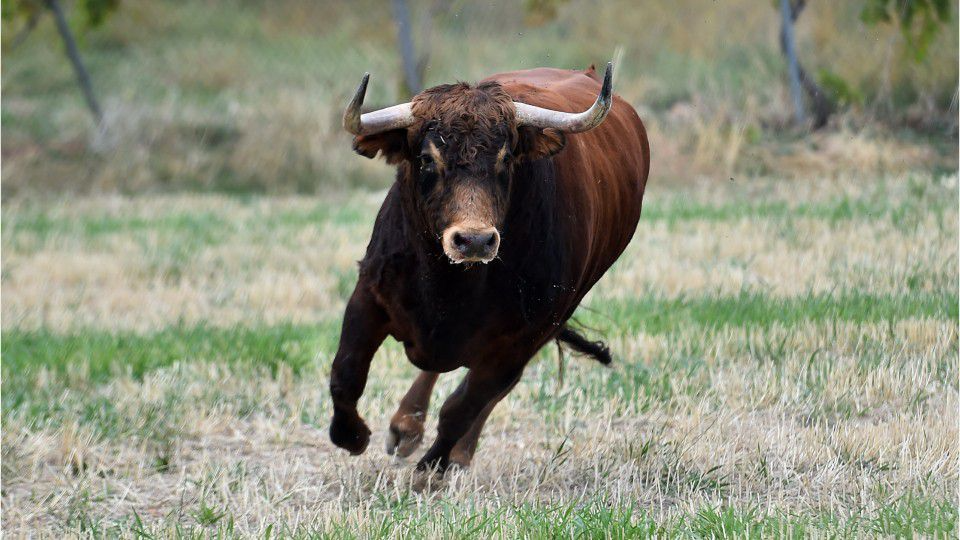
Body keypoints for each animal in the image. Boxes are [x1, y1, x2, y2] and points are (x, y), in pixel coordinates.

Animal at [326, 62, 648, 472]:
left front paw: (432, 469)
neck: (448, 284)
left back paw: (456, 450)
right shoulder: (370, 293)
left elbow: (463, 407)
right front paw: (352, 436)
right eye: (427, 159)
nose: (475, 241)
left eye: (506, 159)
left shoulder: (522, 339)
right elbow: (346, 375)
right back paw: (405, 426)